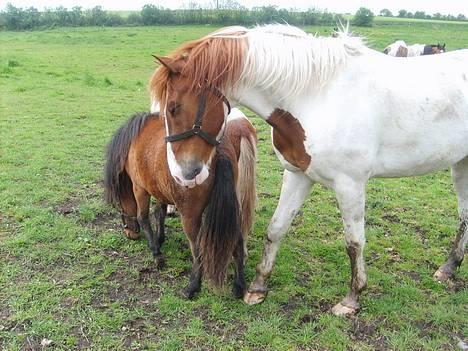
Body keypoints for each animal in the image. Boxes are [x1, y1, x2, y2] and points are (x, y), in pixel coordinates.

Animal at [103, 108, 256, 298]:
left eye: (118, 204)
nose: (130, 234)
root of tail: (218, 150)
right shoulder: (159, 189)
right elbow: (159, 213)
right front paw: (160, 238)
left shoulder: (140, 189)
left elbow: (143, 218)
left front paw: (156, 252)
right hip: (231, 212)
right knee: (239, 243)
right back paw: (239, 285)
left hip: (190, 217)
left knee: (197, 250)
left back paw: (193, 286)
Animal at [149, 24, 468, 316]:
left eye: (174, 107)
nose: (180, 173)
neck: (318, 97)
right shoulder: (298, 175)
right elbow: (276, 229)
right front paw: (258, 287)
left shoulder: (350, 184)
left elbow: (354, 242)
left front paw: (352, 298)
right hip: (461, 164)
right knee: (465, 215)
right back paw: (449, 268)